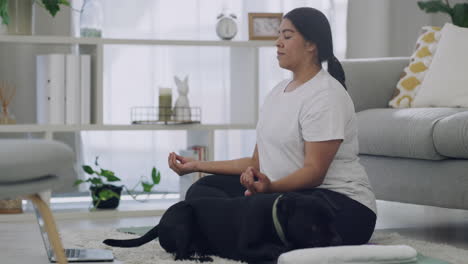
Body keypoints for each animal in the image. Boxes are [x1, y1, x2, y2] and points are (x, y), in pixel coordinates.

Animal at [104, 192, 342, 262]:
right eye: (313, 226)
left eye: (333, 220)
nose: (337, 240)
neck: (276, 218)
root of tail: (160, 223)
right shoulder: (244, 248)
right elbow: (272, 248)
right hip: (184, 216)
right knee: (179, 255)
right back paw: (200, 258)